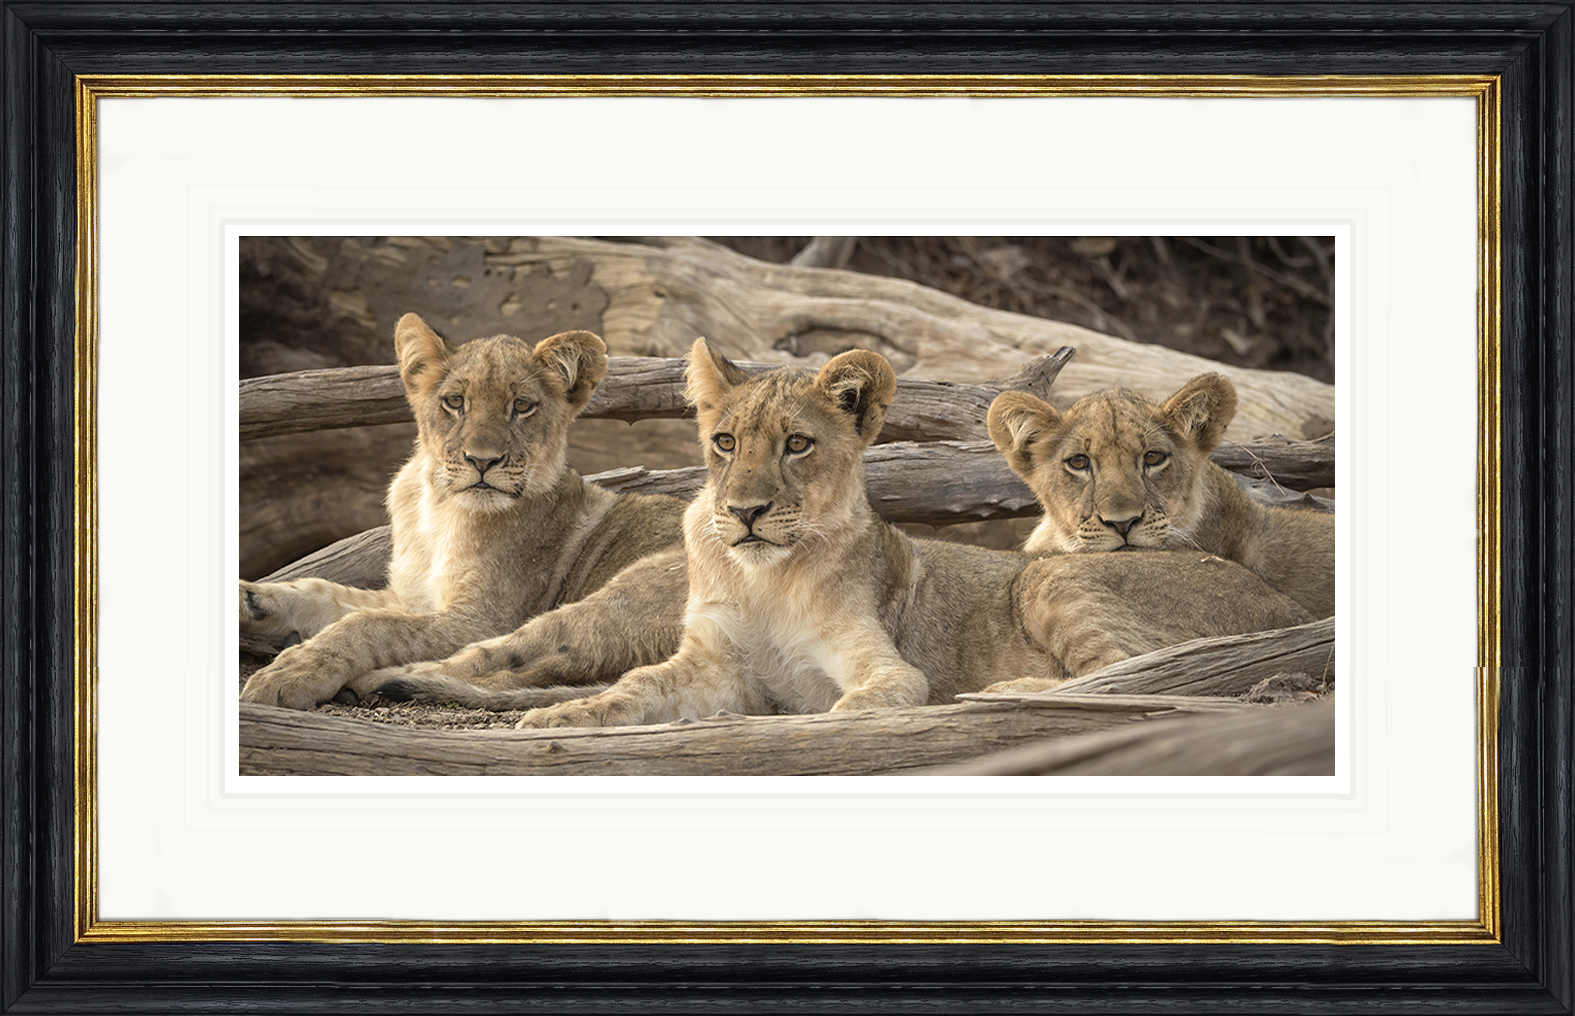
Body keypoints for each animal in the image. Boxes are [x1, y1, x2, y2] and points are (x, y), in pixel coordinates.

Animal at [238, 313, 687, 710]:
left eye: (522, 405)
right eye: (455, 402)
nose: (482, 461)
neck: (436, 507)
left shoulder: (480, 618)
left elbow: (367, 625)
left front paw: (290, 672)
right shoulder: (410, 597)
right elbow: (321, 593)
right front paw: (250, 600)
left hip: (618, 597)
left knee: (510, 663)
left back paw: (377, 681)